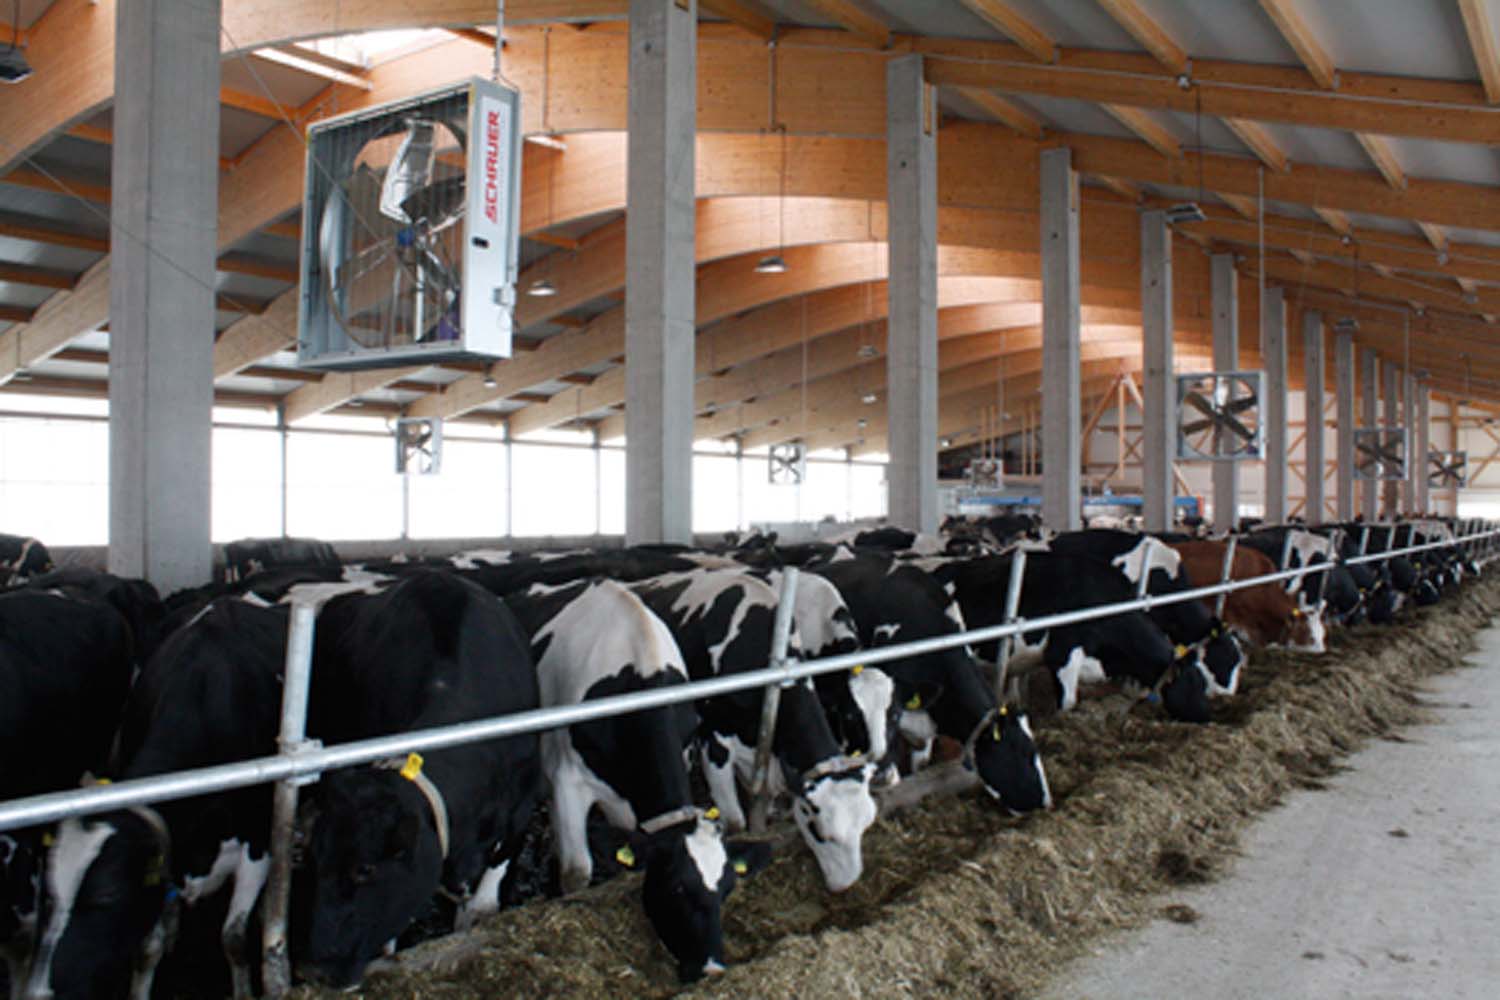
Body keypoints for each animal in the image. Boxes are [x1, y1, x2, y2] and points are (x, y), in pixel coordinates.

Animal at [25, 598, 288, 1000]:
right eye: (48, 895)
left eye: (106, 896)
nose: (39, 992)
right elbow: (148, 947)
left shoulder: (259, 845)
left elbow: (234, 939)